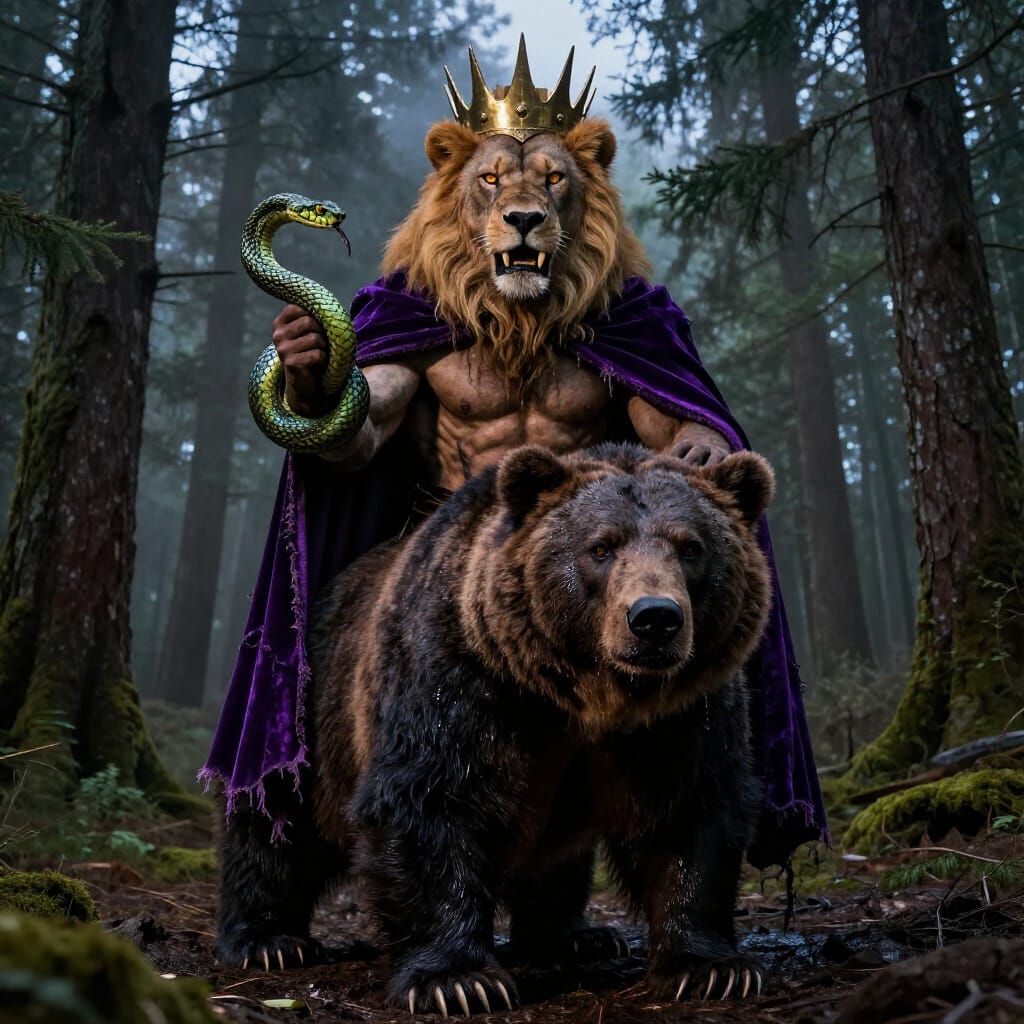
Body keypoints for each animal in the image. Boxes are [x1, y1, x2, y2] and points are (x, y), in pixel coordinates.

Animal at [215, 441, 774, 1014]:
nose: (654, 618)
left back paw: (576, 934)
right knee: (277, 820)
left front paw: (711, 968)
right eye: (600, 547)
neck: (585, 697)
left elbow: (691, 810)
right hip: (304, 712)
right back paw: (268, 940)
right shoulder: (459, 675)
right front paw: (459, 980)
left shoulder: (680, 717)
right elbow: (430, 800)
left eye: (691, 547)